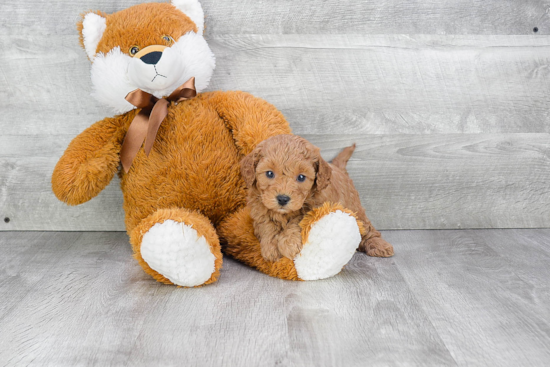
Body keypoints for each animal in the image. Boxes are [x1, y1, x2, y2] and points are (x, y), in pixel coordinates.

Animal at [243, 134, 396, 262]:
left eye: (301, 177)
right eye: (269, 173)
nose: (282, 199)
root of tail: (338, 168)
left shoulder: (317, 209)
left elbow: (297, 222)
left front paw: (288, 244)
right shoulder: (259, 209)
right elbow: (267, 226)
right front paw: (271, 248)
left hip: (354, 207)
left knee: (368, 229)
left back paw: (379, 245)